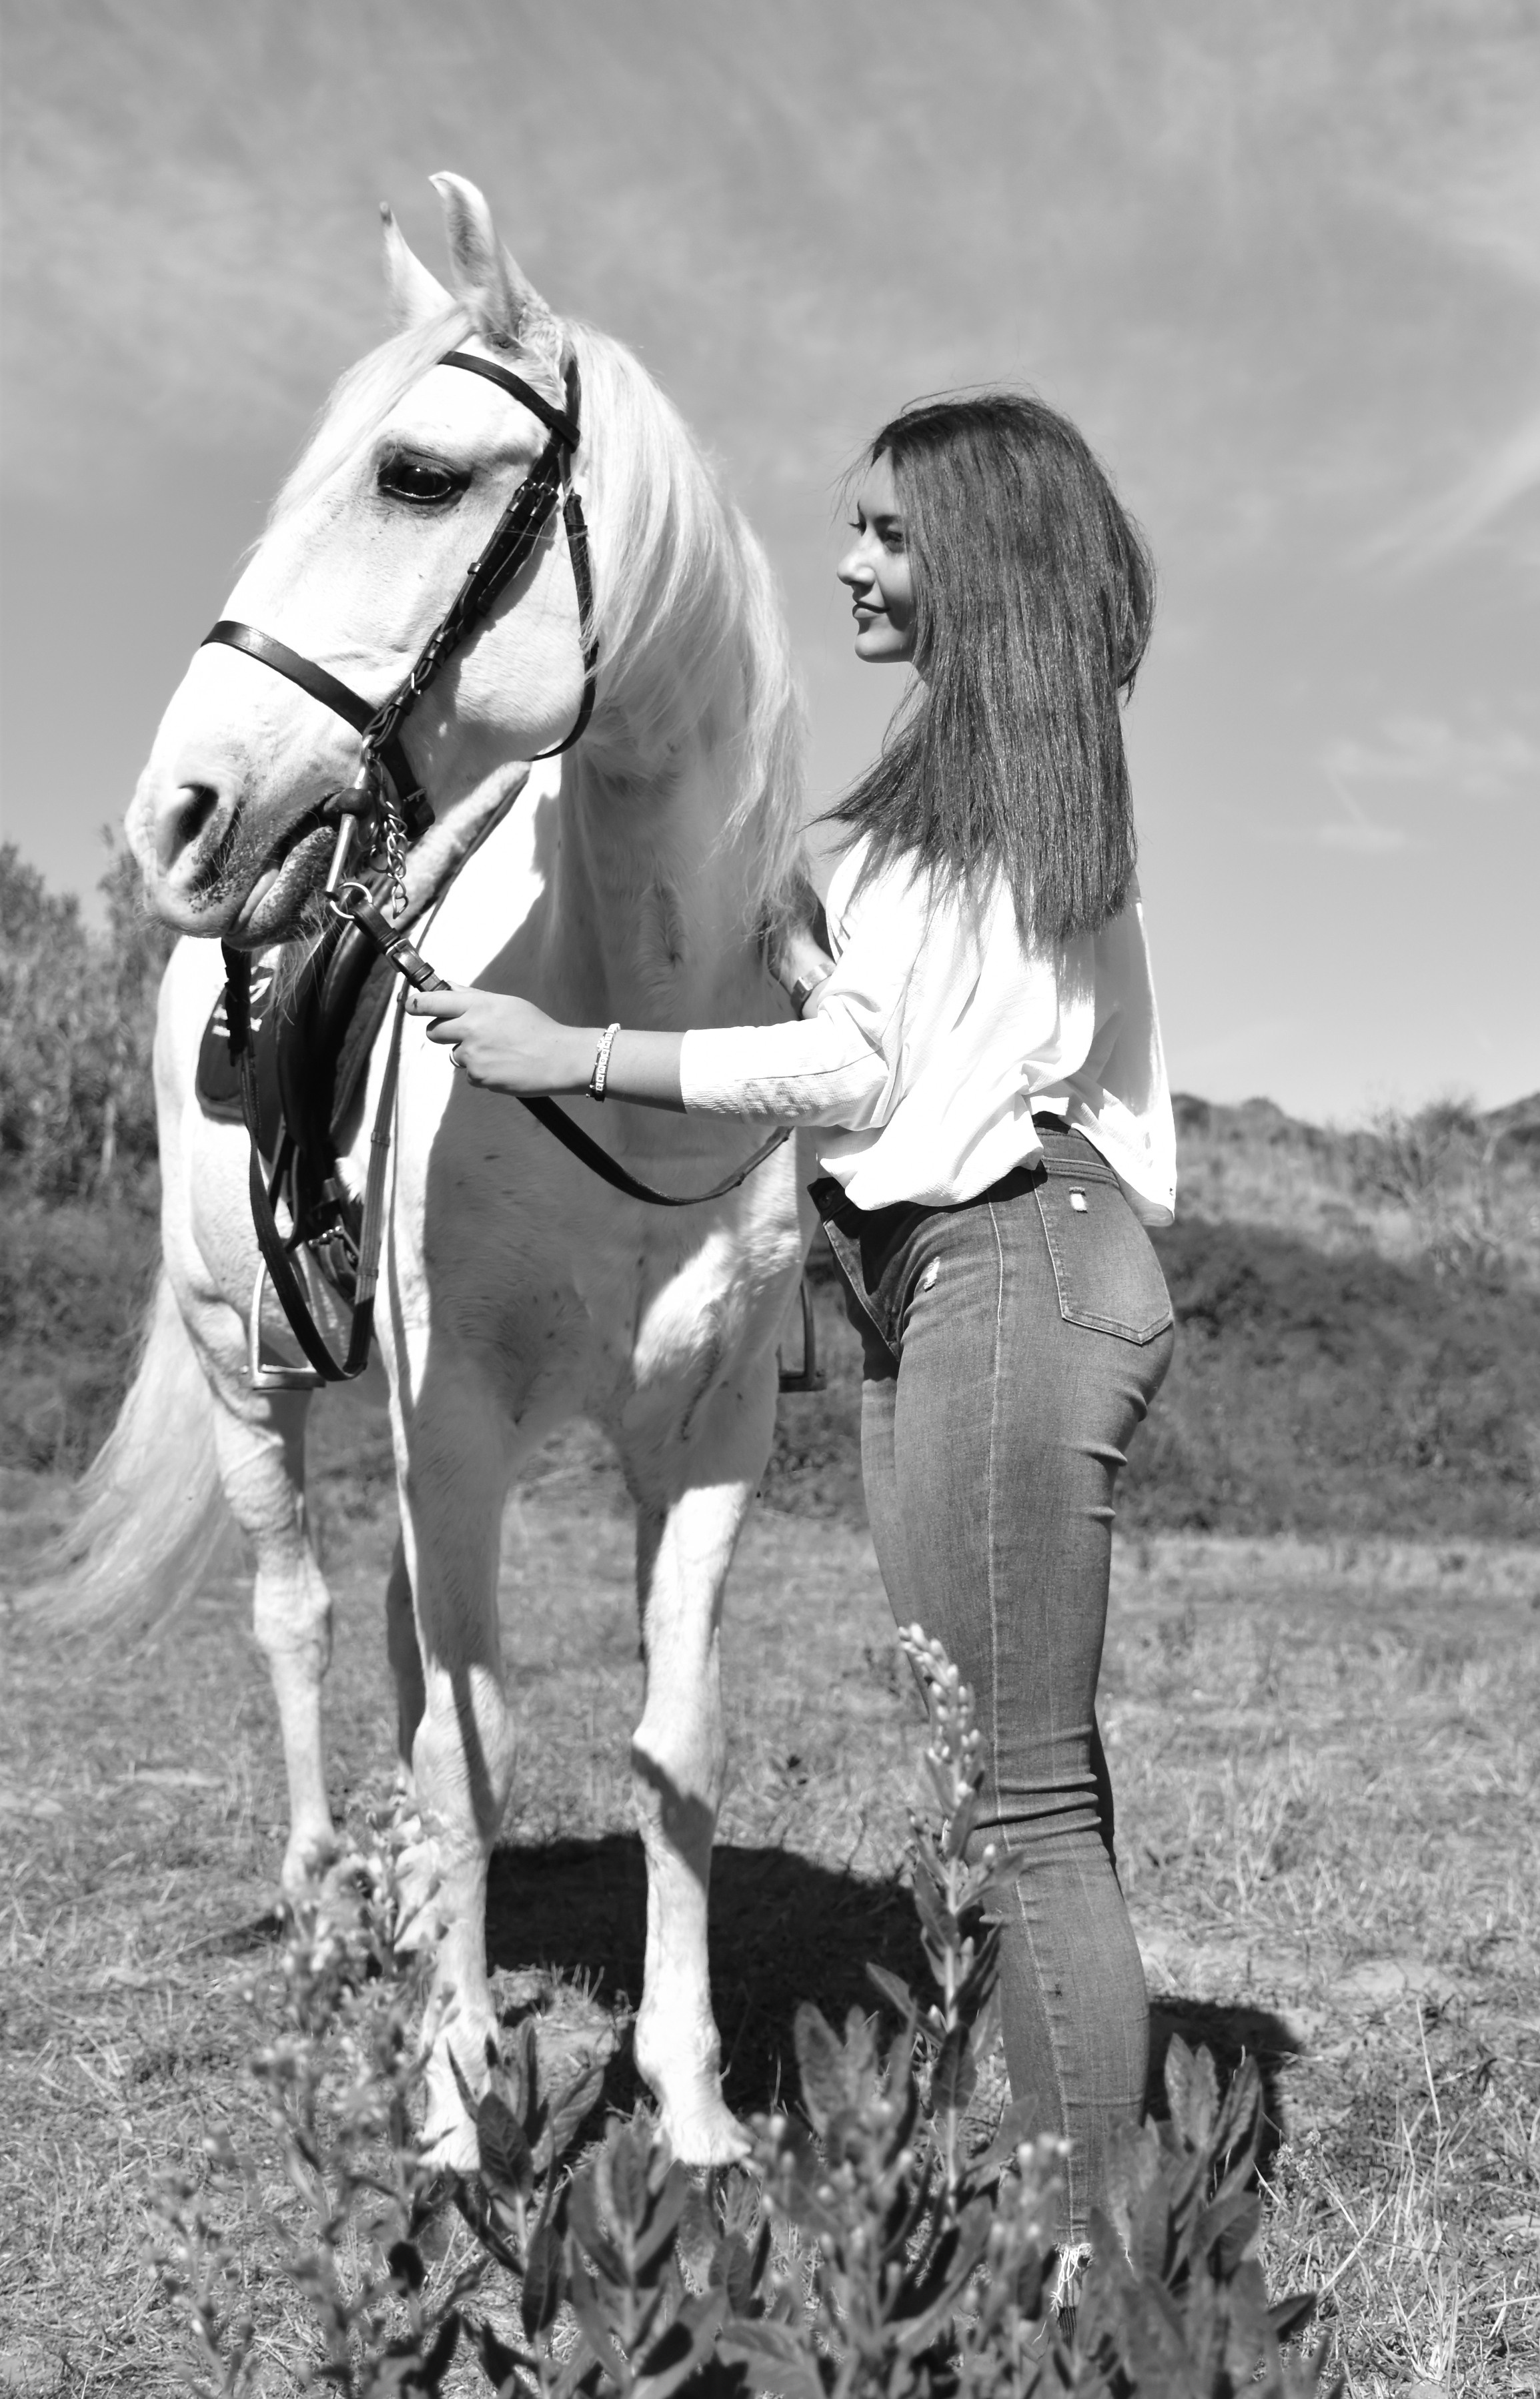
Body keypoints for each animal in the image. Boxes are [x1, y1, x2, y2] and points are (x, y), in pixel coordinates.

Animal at [53, 174, 815, 2166]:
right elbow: (461, 1741)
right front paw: (464, 2109)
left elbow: (667, 1747)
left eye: (413, 474)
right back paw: (333, 1906)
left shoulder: (703, 1438)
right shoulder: (455, 1417)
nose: (174, 815)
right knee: (305, 1622)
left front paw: (687, 2103)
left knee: (405, 1652)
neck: (631, 1029)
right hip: (255, 1381)